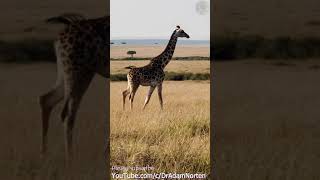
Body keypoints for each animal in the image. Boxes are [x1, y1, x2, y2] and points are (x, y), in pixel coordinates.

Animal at [39, 13, 109, 161]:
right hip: (79, 71)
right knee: (67, 114)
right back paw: (70, 159)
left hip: (68, 71)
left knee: (46, 99)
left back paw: (44, 154)